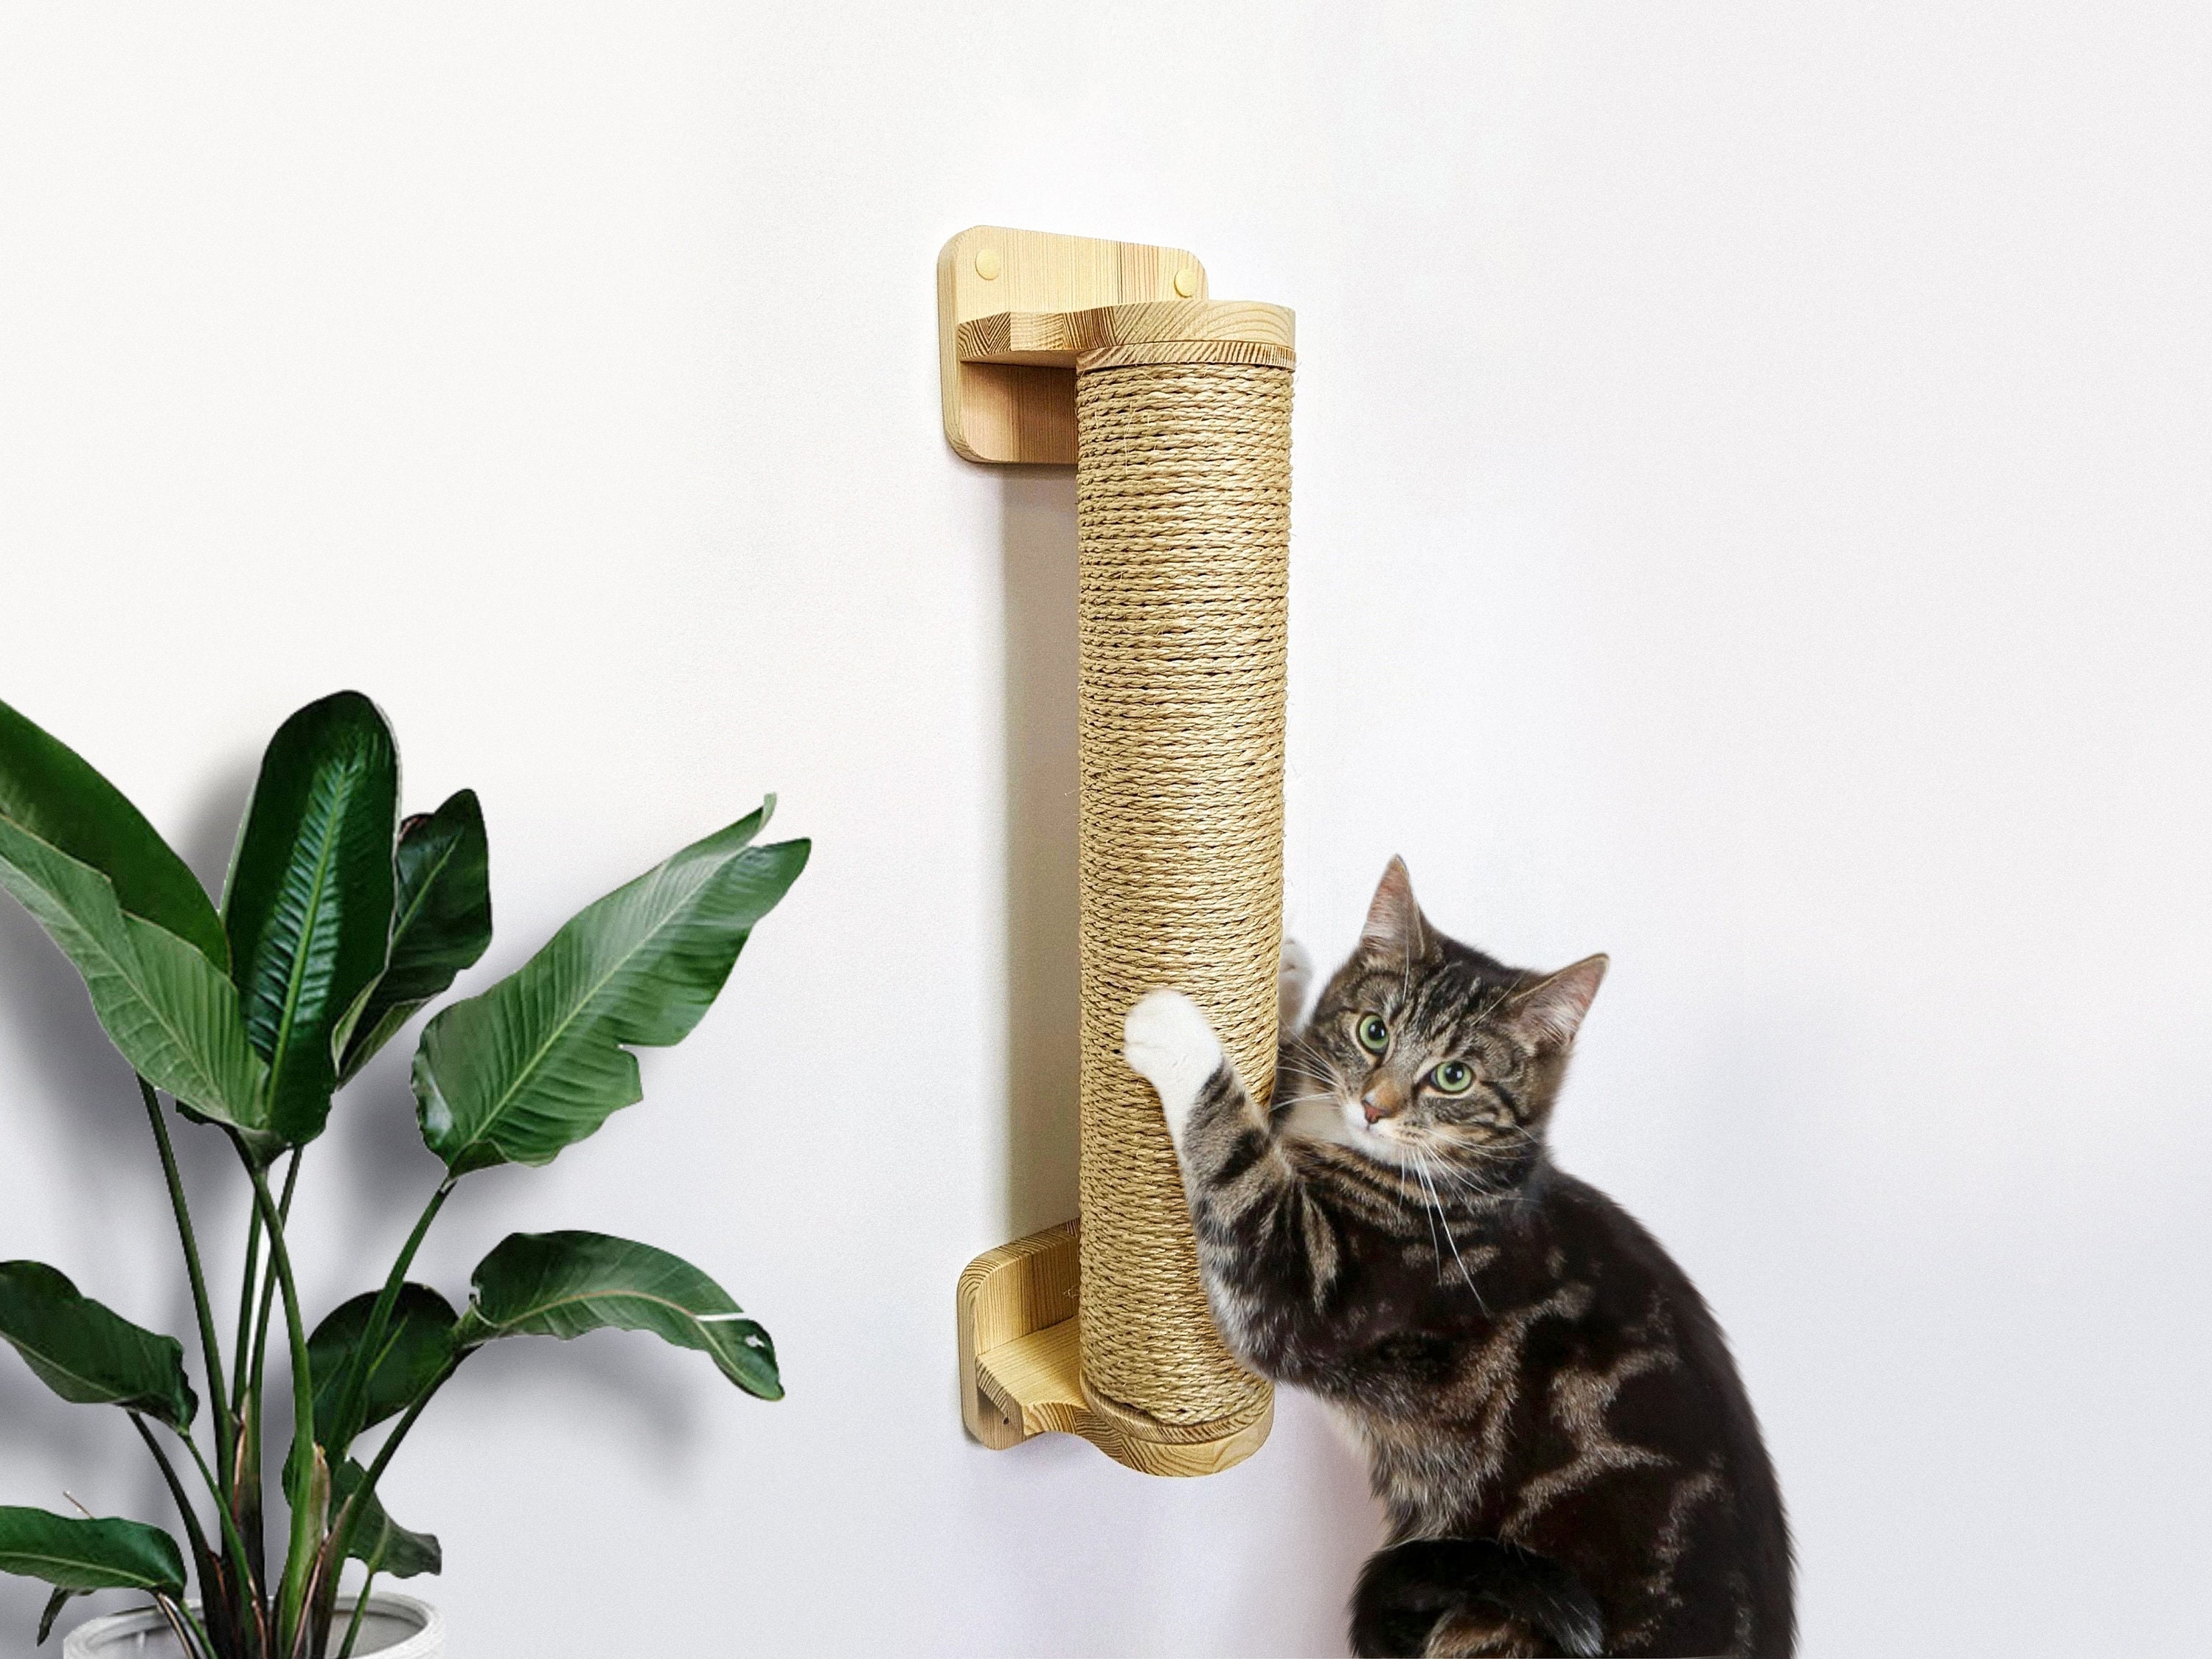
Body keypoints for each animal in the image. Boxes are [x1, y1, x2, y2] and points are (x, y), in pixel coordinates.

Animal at [1122, 858, 1793, 1658]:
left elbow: (1245, 1173)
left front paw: (1178, 1037)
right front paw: (1288, 979)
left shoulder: (1315, 1290)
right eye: (1373, 1031)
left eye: (1454, 1078)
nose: (1374, 1106)